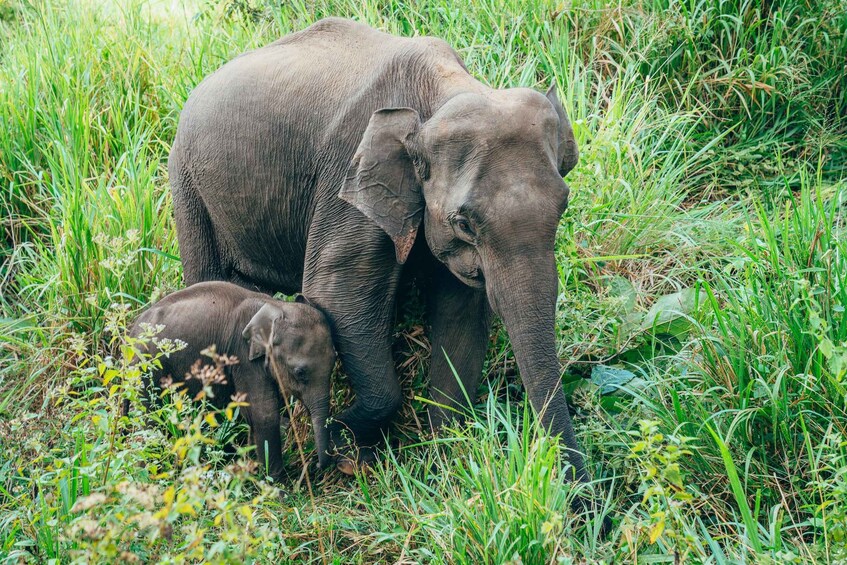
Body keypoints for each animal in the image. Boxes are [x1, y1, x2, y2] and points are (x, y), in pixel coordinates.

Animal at [129, 282, 334, 480]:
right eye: (300, 372)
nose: (316, 466)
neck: (275, 306)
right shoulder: (243, 355)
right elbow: (264, 413)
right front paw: (276, 485)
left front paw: (251, 469)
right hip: (145, 367)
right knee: (151, 419)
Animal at [169, 18, 588, 480]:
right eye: (464, 223)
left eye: (563, 205)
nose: (583, 494)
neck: (446, 89)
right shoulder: (349, 179)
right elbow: (338, 292)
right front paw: (349, 443)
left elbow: (461, 312)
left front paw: (441, 456)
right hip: (187, 183)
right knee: (209, 276)